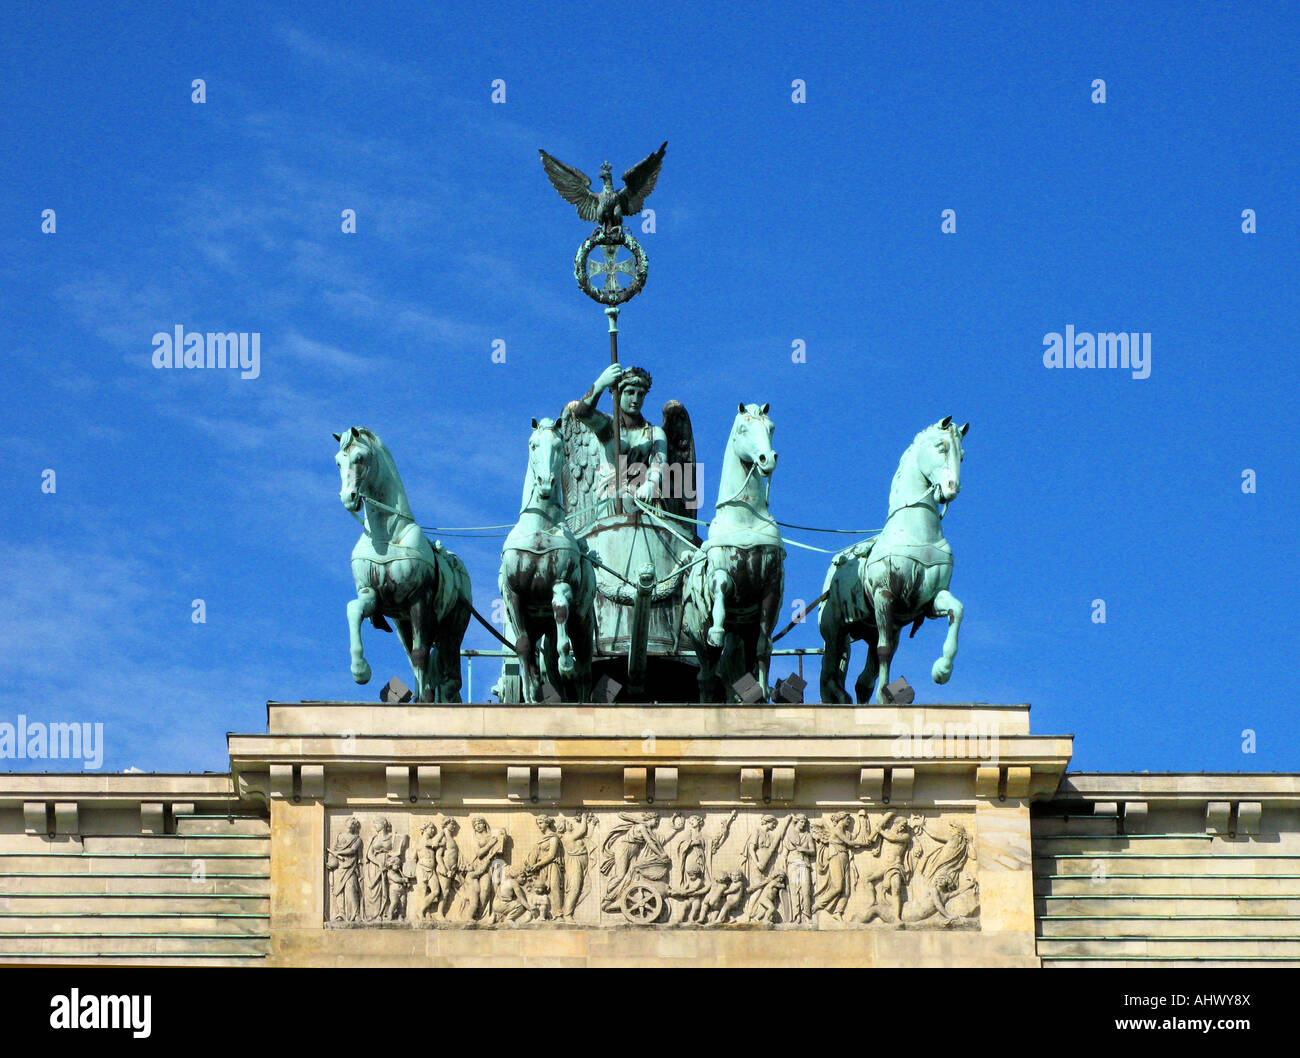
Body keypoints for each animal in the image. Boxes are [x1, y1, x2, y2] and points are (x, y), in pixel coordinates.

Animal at [335, 426, 473, 707]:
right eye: (337, 462)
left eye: (359, 458)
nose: (348, 498)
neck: (386, 536)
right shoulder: (372, 595)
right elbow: (354, 609)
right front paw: (360, 670)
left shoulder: (420, 599)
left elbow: (421, 654)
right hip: (402, 623)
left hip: (453, 625)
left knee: (444, 665)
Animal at [496, 421, 598, 701]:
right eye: (533, 445)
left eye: (560, 446)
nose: (545, 482)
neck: (539, 528)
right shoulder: (513, 595)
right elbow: (523, 648)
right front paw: (532, 694)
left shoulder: (561, 582)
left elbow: (560, 609)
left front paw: (566, 662)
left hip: (582, 624)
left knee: (584, 670)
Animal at [681, 405, 780, 701]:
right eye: (743, 428)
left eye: (770, 427)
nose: (767, 459)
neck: (745, 518)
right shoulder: (721, 571)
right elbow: (722, 585)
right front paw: (717, 628)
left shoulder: (771, 587)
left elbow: (763, 648)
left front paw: (763, 694)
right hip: (698, 639)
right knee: (706, 676)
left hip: (742, 634)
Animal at [816, 415, 972, 701]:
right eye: (941, 447)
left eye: (963, 455)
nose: (952, 489)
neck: (916, 532)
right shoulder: (884, 595)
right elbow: (885, 650)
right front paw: (884, 696)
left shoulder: (928, 600)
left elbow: (957, 610)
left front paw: (942, 670)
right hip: (835, 630)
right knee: (830, 671)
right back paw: (841, 698)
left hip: (872, 628)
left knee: (862, 681)